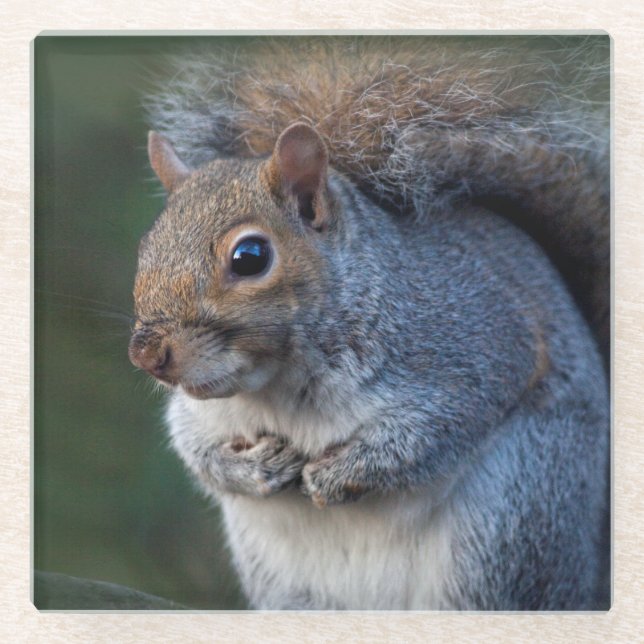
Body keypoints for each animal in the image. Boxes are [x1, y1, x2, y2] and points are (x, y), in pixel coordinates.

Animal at [129, 36, 610, 610]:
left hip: (511, 522)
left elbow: (434, 432)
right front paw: (255, 468)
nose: (147, 354)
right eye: (146, 246)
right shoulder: (203, 414)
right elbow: (193, 446)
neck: (279, 387)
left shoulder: (476, 345)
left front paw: (335, 475)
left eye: (249, 257)